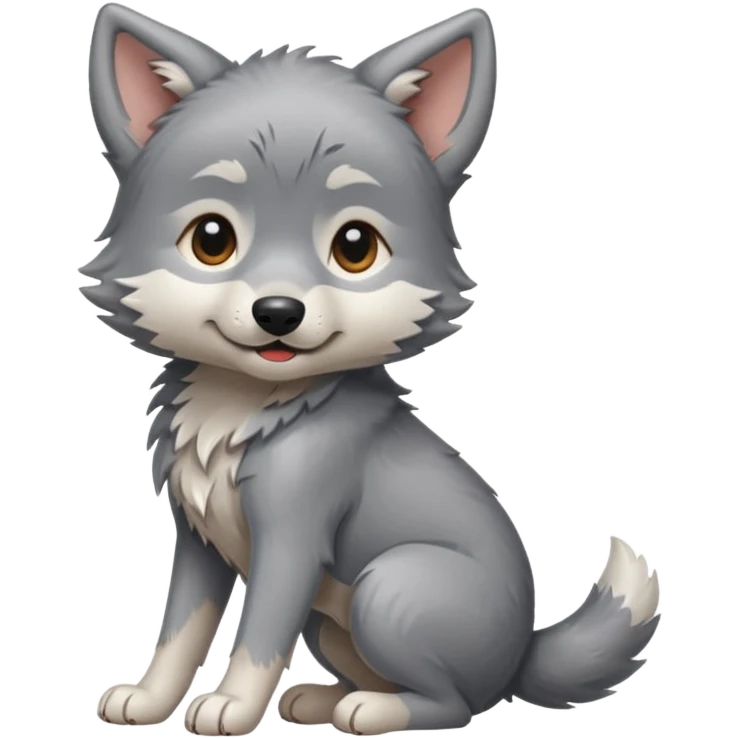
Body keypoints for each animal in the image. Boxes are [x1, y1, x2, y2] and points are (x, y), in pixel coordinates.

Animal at [82, 4, 661, 736]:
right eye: (212, 239)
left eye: (354, 248)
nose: (279, 312)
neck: (245, 406)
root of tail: (519, 656)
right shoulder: (199, 541)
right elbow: (178, 633)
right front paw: (150, 700)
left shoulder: (293, 539)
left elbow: (257, 638)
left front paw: (231, 707)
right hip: (334, 625)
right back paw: (321, 699)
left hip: (389, 587)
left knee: (453, 705)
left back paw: (371, 710)